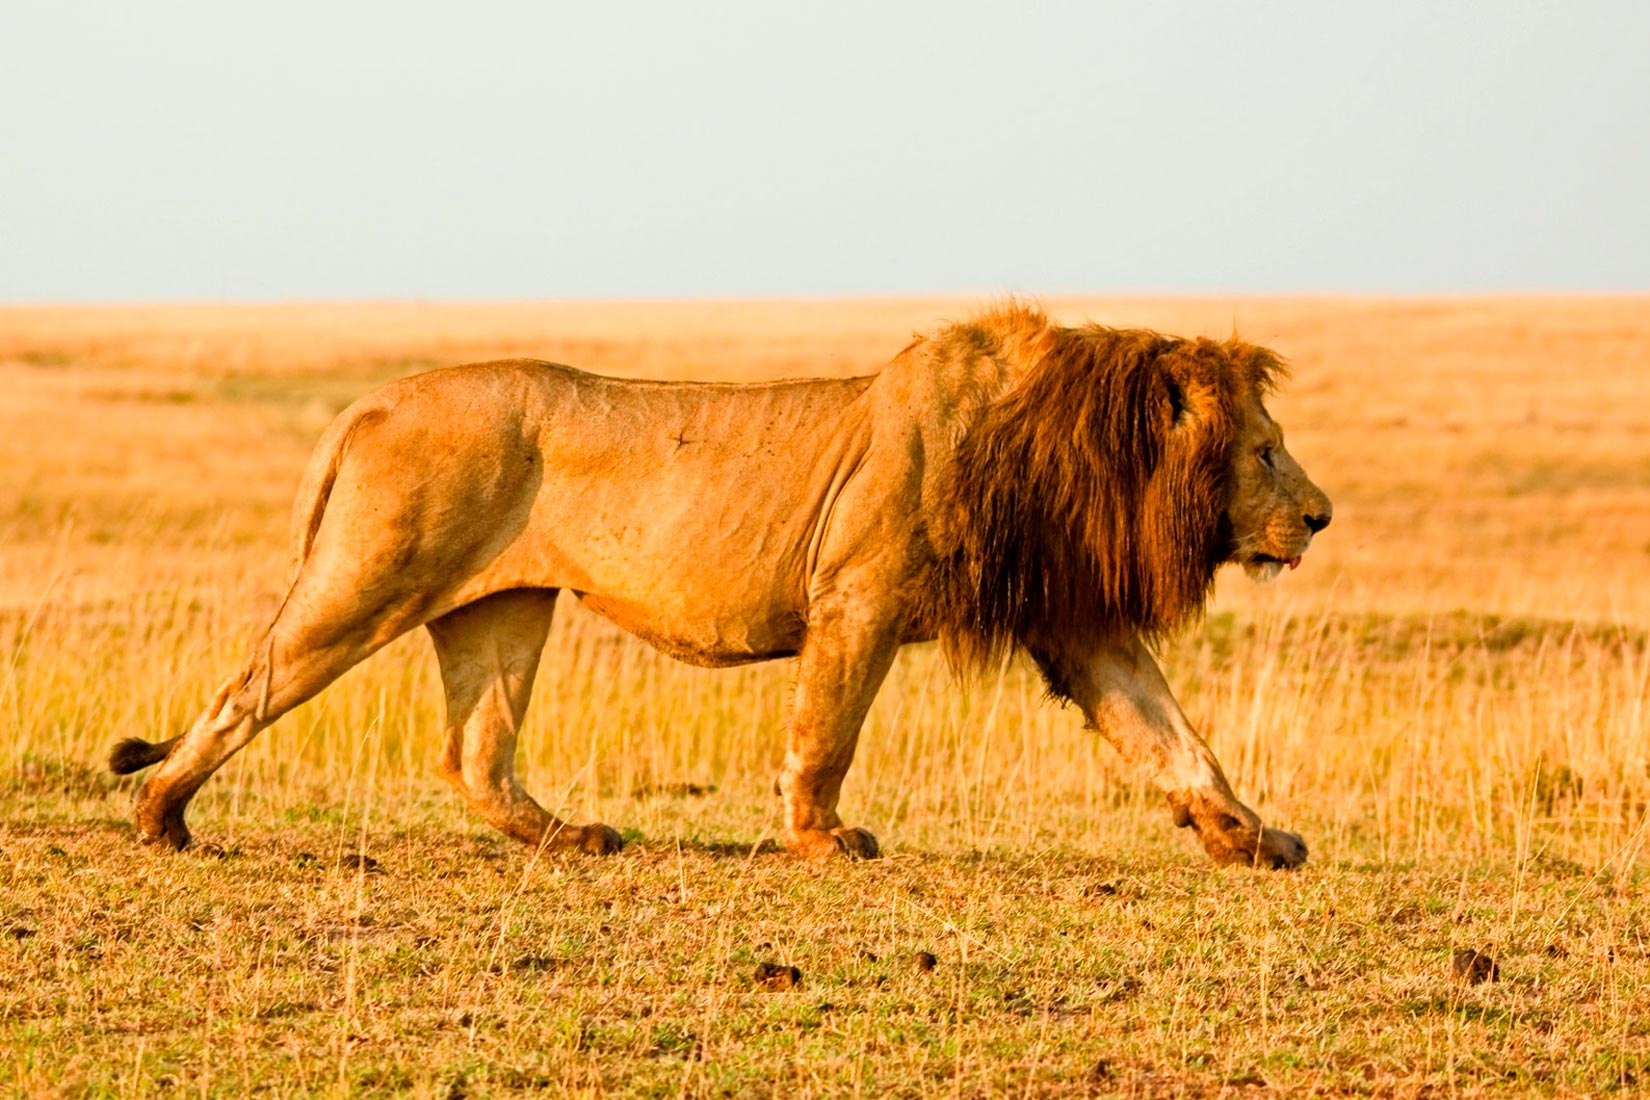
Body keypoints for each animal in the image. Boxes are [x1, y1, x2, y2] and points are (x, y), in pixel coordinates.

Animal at [109, 303, 1326, 870]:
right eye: (1267, 451)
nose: (1319, 516)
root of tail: (370, 400)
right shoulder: (858, 595)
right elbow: (825, 732)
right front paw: (821, 839)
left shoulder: (1079, 617)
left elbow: (1173, 735)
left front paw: (1249, 836)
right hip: (369, 576)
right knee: (248, 688)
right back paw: (161, 813)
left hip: (499, 606)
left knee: (474, 751)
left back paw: (569, 839)